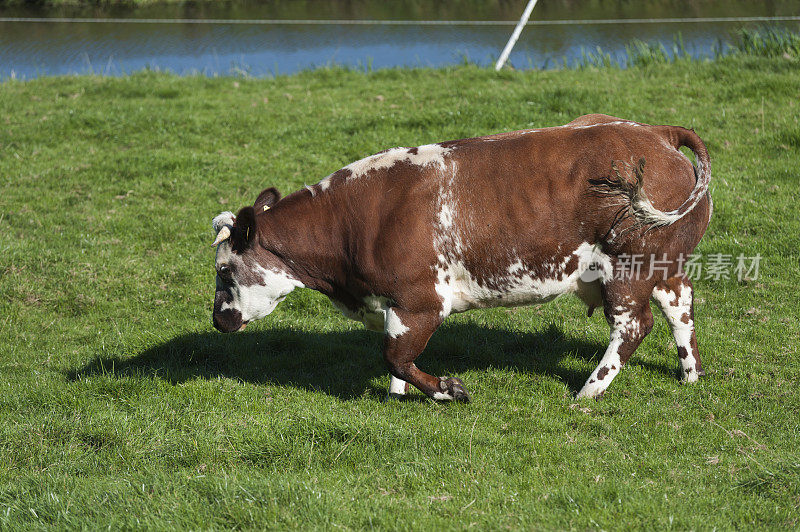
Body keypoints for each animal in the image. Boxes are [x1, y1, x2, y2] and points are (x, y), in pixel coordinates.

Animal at [211, 114, 712, 402]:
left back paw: (587, 393)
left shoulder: (419, 301)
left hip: (628, 268)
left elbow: (394, 357)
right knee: (679, 305)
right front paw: (398, 397)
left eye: (225, 270)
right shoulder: (395, 306)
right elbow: (395, 362)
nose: (218, 320)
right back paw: (690, 375)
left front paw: (446, 390)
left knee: (634, 326)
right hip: (664, 264)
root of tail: (656, 133)